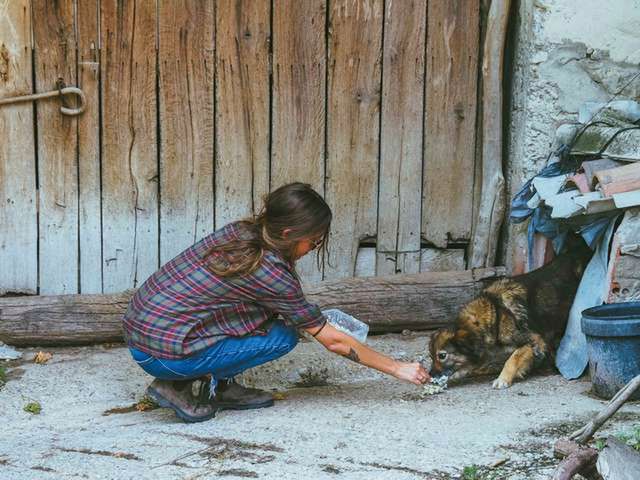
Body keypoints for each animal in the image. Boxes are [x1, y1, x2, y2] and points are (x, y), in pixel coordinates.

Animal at [428, 244, 592, 390]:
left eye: (442, 356)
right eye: (431, 356)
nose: (430, 376)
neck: (495, 314)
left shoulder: (535, 341)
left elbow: (513, 358)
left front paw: (503, 379)